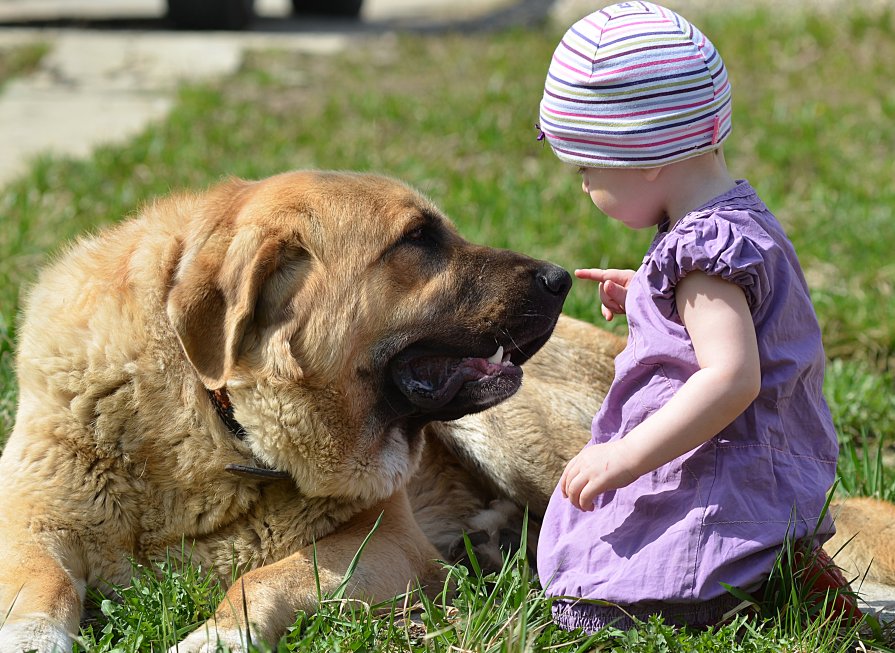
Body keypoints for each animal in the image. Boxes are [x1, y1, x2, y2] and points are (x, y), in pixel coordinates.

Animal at [0, 171, 892, 648]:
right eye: (418, 240)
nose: (560, 278)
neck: (214, 426)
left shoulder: (383, 544)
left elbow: (261, 578)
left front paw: (214, 633)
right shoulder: (31, 521)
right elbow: (37, 584)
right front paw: (31, 635)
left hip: (519, 436)